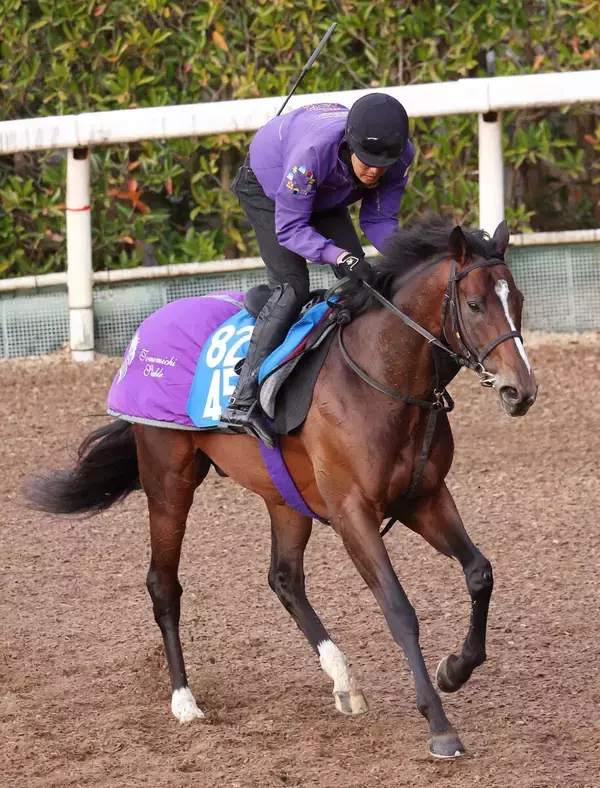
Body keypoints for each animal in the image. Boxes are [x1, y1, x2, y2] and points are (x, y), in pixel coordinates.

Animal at [25, 215, 537, 759]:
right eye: (475, 304)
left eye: (519, 299)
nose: (521, 390)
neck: (381, 377)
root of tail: (147, 329)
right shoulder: (353, 511)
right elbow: (399, 609)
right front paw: (439, 725)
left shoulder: (425, 497)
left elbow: (479, 572)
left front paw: (454, 669)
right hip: (169, 481)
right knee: (163, 583)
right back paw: (184, 700)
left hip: (283, 494)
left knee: (284, 578)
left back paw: (343, 681)